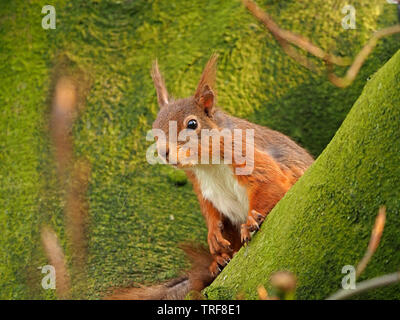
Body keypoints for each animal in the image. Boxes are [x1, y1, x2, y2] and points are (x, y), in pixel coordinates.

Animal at [105, 53, 312, 298]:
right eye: (155, 128)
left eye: (192, 124)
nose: (164, 152)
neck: (207, 163)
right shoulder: (201, 186)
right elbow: (211, 211)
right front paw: (213, 236)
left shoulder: (248, 155)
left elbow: (269, 182)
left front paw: (252, 220)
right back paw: (219, 261)